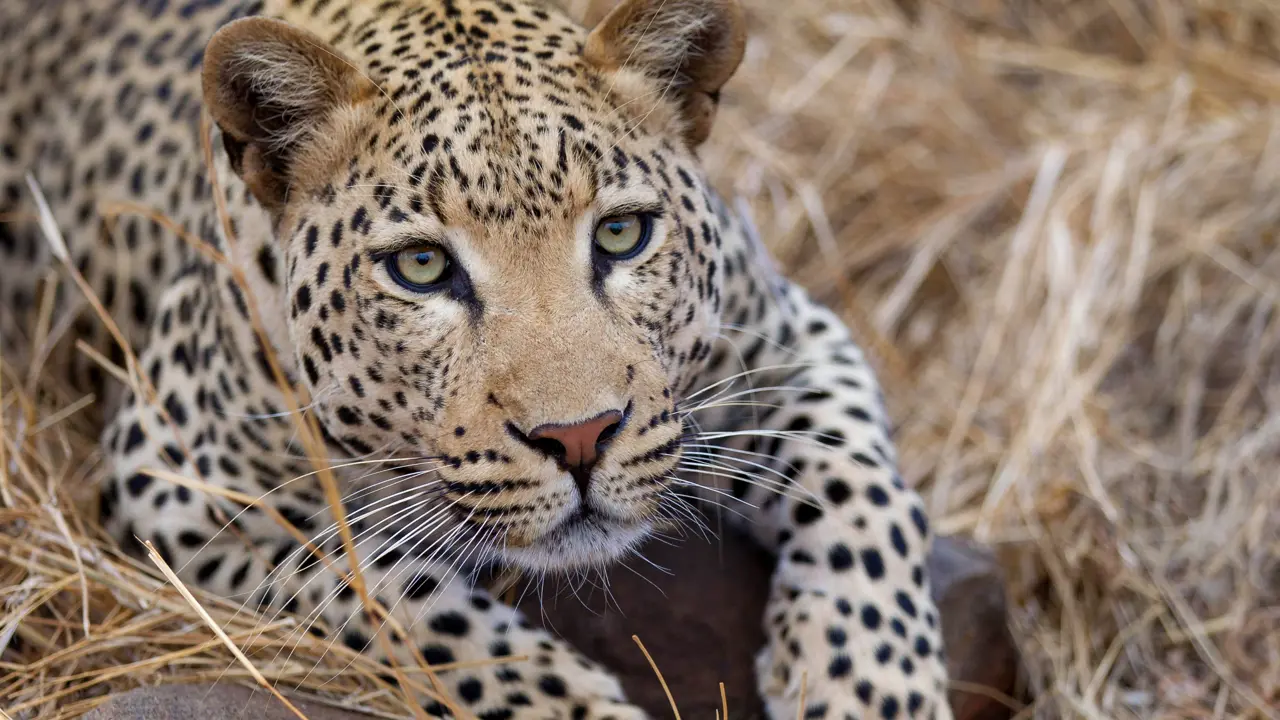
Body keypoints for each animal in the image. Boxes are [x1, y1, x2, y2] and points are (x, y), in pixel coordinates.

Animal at [0, 0, 951, 718]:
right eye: (422, 266)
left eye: (621, 234)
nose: (580, 437)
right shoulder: (177, 481)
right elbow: (392, 598)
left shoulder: (789, 342)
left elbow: (864, 497)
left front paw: (872, 693)